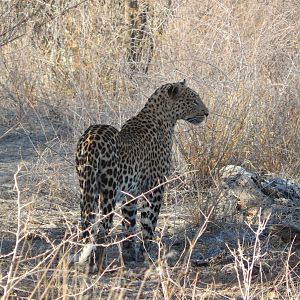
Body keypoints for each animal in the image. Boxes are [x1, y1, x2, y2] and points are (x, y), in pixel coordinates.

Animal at [75, 79, 209, 272]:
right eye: (194, 100)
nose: (207, 113)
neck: (165, 119)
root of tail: (91, 139)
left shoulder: (130, 193)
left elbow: (129, 224)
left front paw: (130, 254)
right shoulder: (155, 188)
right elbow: (148, 223)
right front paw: (148, 256)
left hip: (86, 188)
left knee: (87, 226)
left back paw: (87, 263)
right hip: (108, 191)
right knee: (102, 230)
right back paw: (98, 266)